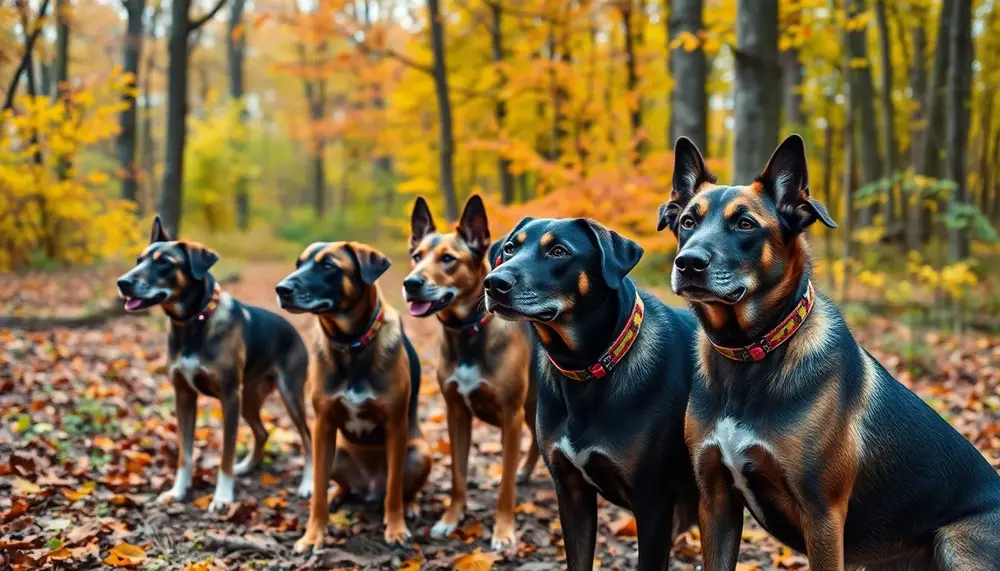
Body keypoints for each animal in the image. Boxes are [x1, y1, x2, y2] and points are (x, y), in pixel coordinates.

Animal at [114, 217, 308, 512]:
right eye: (139, 260)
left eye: (165, 263)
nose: (122, 282)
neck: (193, 323)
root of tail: (293, 330)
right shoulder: (184, 395)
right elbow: (185, 453)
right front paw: (178, 491)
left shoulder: (229, 397)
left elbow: (225, 455)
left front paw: (223, 497)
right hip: (249, 398)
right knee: (262, 433)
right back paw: (248, 466)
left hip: (289, 395)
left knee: (308, 438)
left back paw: (308, 485)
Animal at [276, 242, 432, 556]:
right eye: (299, 264)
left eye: (328, 266)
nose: (281, 289)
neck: (351, 344)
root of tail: (370, 488)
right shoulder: (323, 426)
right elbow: (317, 493)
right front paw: (313, 536)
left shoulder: (396, 426)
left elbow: (394, 488)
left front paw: (395, 529)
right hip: (336, 451)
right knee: (339, 484)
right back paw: (339, 494)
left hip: (420, 453)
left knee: (404, 489)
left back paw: (410, 505)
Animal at [402, 196, 540, 556]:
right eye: (416, 256)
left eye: (448, 259)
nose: (411, 283)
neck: (467, 334)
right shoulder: (456, 413)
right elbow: (458, 477)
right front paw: (451, 519)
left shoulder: (510, 416)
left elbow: (505, 489)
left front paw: (504, 532)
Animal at [480, 216, 700, 571]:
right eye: (510, 248)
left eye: (558, 251)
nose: (493, 282)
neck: (585, 368)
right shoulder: (571, 491)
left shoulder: (653, 502)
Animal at [656, 135, 1000, 571]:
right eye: (688, 221)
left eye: (745, 224)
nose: (687, 263)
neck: (749, 354)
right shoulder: (715, 500)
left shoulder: (822, 515)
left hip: (959, 542)